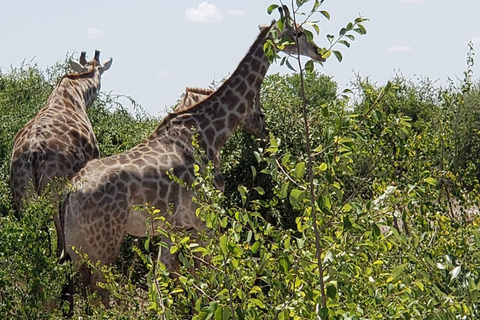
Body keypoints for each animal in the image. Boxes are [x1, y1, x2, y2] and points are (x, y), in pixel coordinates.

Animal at [58, 5, 324, 304]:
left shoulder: (172, 227)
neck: (211, 132)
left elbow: (163, 278)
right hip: (104, 243)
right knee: (99, 296)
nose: (319, 52)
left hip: (77, 248)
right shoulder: (203, 217)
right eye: (299, 31)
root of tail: (70, 192)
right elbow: (209, 271)